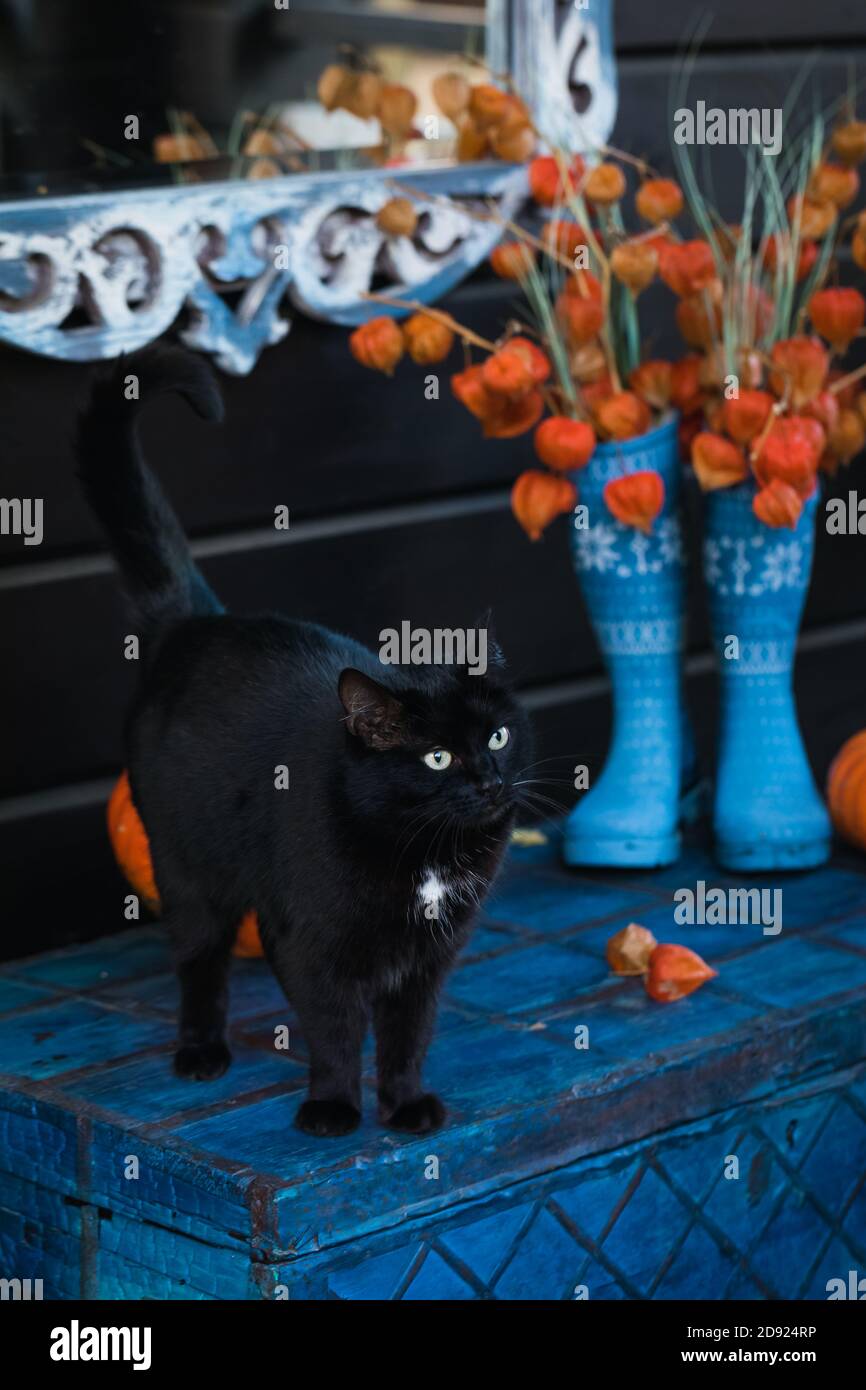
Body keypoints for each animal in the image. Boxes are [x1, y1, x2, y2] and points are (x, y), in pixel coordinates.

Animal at [79, 350, 528, 1139]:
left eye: (497, 736)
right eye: (438, 757)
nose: (490, 782)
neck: (422, 855)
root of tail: (195, 622)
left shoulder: (429, 960)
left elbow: (409, 1034)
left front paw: (406, 1105)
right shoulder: (306, 943)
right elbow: (336, 1030)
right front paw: (333, 1107)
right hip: (188, 869)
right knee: (199, 962)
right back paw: (201, 1052)